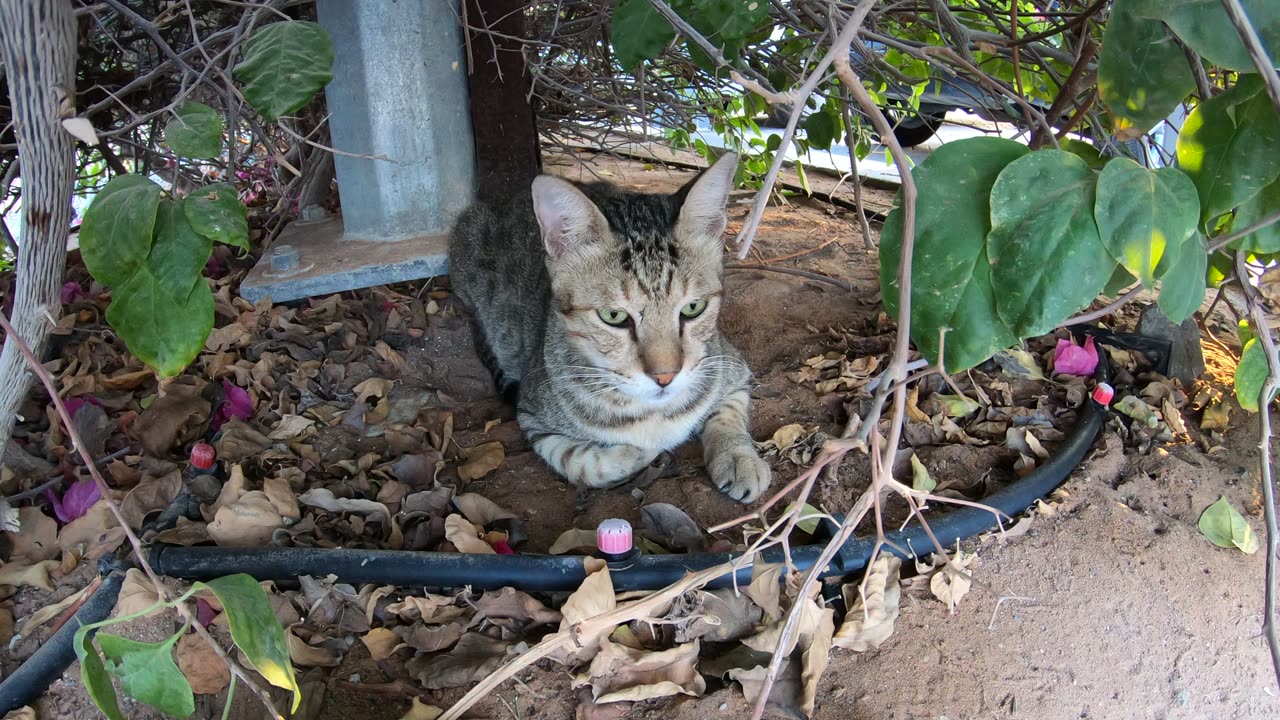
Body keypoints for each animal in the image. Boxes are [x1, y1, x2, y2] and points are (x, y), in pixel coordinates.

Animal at [450, 152, 768, 499]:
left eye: (693, 308)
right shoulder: (533, 419)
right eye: (613, 316)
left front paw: (737, 456)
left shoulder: (732, 367)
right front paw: (640, 449)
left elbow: (727, 411)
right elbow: (586, 462)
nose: (665, 376)